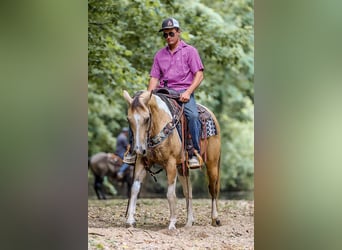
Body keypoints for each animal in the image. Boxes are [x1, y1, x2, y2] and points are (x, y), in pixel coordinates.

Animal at [123, 89, 222, 229]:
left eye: (147, 118)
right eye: (128, 119)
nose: (138, 149)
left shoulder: (170, 163)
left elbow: (170, 194)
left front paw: (172, 224)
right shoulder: (141, 162)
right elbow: (134, 189)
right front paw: (130, 220)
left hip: (212, 164)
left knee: (212, 189)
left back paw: (215, 219)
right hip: (182, 167)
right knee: (188, 191)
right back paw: (189, 222)